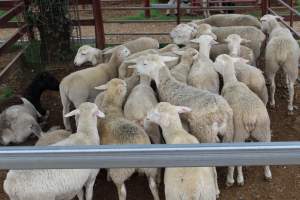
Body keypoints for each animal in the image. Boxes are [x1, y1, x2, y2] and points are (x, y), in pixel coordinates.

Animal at [213, 54, 272, 187]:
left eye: (216, 61)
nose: (212, 63)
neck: (232, 81)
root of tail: (251, 116)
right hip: (264, 129)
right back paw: (267, 174)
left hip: (238, 132)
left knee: (236, 160)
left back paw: (235, 179)